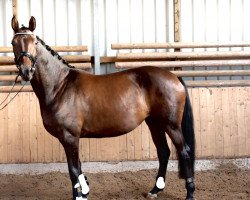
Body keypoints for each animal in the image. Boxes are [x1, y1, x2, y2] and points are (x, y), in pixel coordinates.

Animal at [11, 16, 195, 199]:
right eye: (14, 42)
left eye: (34, 42)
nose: (26, 71)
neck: (60, 85)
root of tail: (174, 77)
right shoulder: (71, 139)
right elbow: (77, 168)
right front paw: (84, 192)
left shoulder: (70, 137)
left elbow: (73, 170)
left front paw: (79, 195)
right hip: (155, 123)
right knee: (163, 152)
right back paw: (155, 190)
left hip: (171, 125)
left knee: (184, 151)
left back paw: (190, 193)